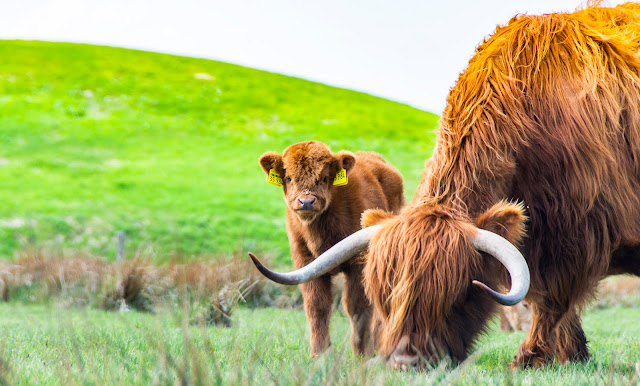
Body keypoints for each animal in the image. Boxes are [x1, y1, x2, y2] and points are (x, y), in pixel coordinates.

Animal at [249, 141, 402, 356]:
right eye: (288, 177)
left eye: (324, 177)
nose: (306, 202)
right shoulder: (305, 262)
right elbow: (317, 305)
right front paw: (319, 353)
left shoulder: (358, 265)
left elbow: (357, 306)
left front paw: (361, 353)